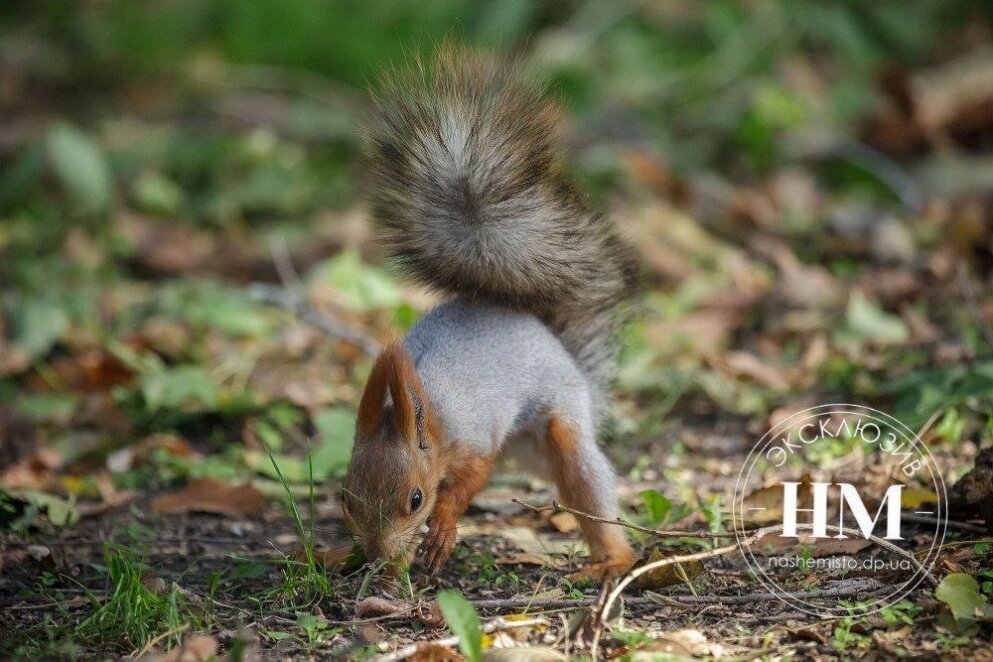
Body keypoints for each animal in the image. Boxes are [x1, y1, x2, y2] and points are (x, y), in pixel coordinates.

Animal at [340, 45, 636, 580]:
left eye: (416, 499)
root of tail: (551, 337)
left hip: (560, 422)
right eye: (346, 498)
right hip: (530, 450)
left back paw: (612, 559)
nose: (380, 558)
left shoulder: (476, 437)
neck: (428, 412)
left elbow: (470, 481)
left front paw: (441, 530)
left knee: (587, 483)